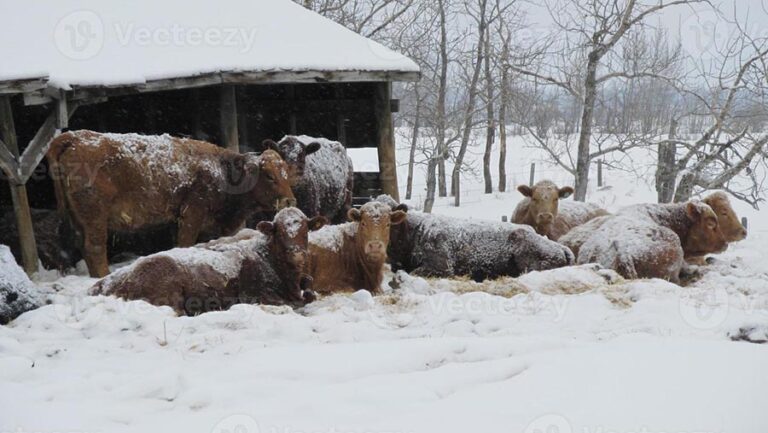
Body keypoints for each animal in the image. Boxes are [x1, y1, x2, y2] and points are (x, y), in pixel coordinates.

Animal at [46, 129, 296, 276]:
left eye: (287, 173)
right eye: (269, 175)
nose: (290, 200)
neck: (223, 171)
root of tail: (72, 138)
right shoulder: (191, 214)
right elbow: (184, 243)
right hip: (96, 218)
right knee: (95, 248)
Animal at [91, 207, 328, 314]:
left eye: (305, 230)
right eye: (278, 231)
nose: (297, 253)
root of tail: (106, 282)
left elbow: (309, 288)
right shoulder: (255, 295)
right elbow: (296, 302)